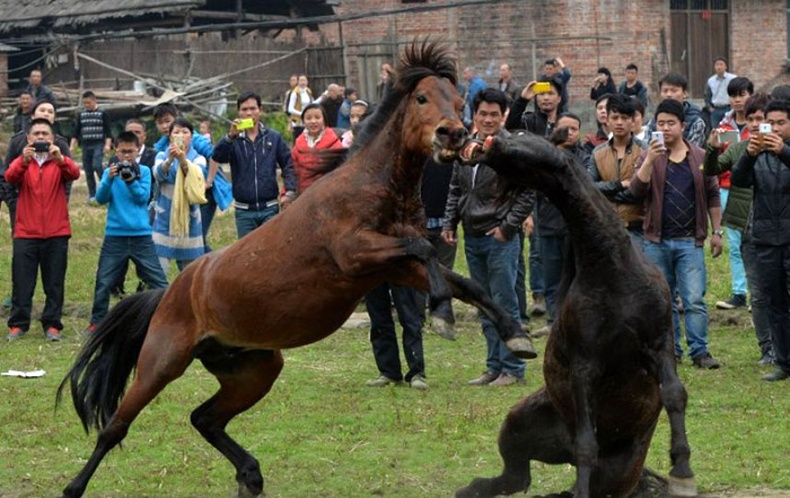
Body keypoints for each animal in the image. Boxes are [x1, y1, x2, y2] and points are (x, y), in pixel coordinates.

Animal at [57, 40, 540, 496]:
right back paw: (73, 486)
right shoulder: (357, 255)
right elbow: (426, 251)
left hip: (254, 369)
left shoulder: (392, 267)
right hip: (162, 362)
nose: (453, 135)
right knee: (115, 427)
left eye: (459, 101)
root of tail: (172, 291)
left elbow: (467, 283)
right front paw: (441, 314)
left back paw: (250, 475)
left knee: (204, 418)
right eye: (422, 98)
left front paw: (515, 336)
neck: (372, 188)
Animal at [454, 132, 696, 498]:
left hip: (620, 470)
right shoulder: (585, 365)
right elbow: (586, 445)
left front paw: (682, 471)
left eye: (523, 135)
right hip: (518, 425)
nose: (480, 141)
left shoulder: (659, 342)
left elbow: (674, 395)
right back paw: (472, 489)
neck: (613, 271)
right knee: (521, 475)